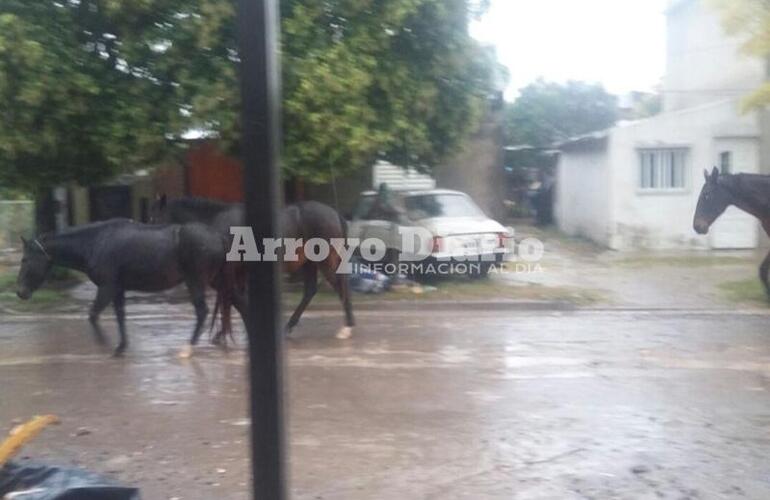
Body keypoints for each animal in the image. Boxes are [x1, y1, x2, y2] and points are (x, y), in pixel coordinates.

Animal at [15, 219, 228, 356]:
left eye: (25, 260)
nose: (20, 292)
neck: (95, 243)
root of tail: (219, 236)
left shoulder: (107, 288)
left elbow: (93, 315)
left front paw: (105, 344)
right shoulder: (117, 289)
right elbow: (119, 315)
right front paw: (121, 347)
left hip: (195, 281)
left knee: (202, 311)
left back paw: (189, 348)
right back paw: (218, 337)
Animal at [152, 195, 356, 340]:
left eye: (156, 218)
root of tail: (335, 214)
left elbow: (234, 300)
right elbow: (236, 299)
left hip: (325, 261)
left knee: (340, 286)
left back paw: (346, 327)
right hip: (308, 264)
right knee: (312, 291)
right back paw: (289, 327)